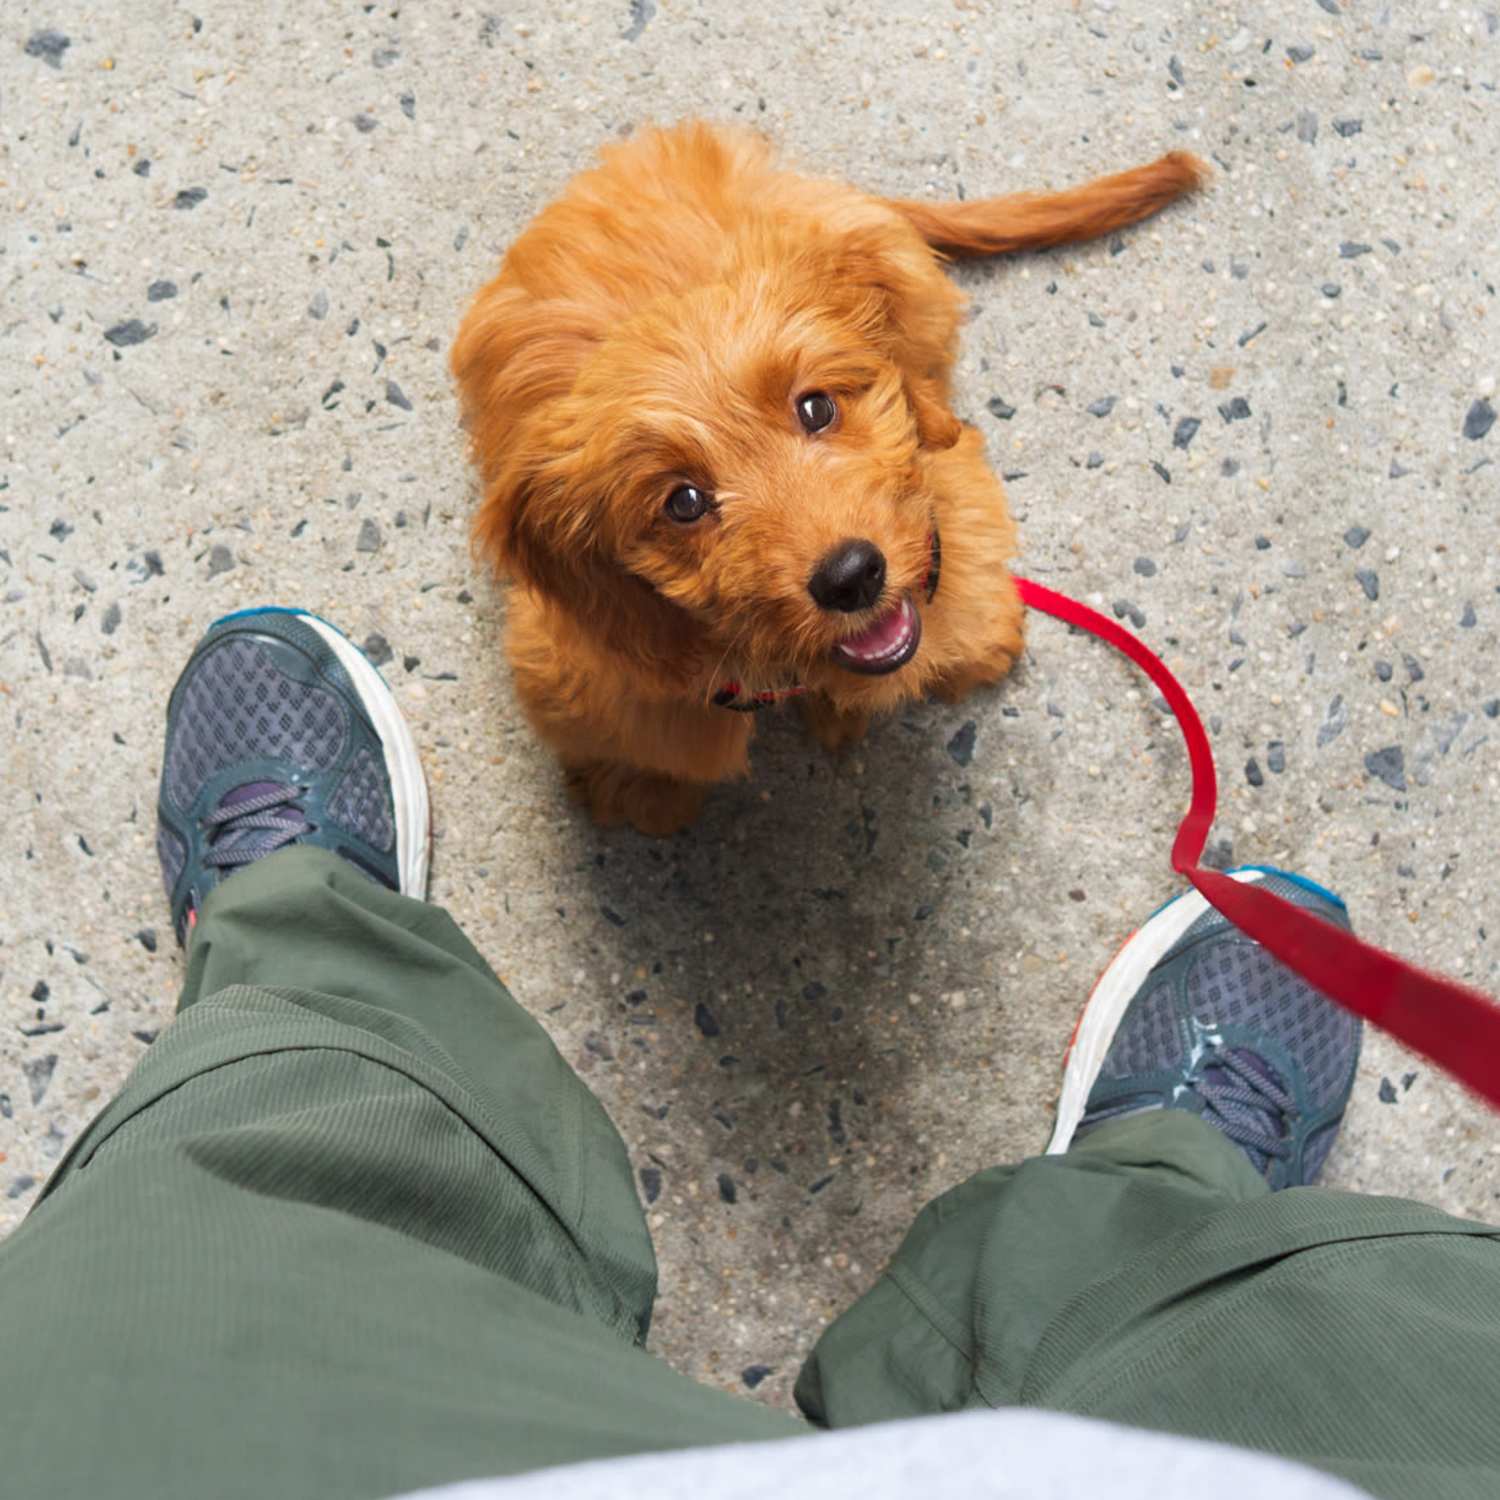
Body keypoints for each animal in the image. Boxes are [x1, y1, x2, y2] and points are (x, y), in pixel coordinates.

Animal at [450, 123, 1200, 840]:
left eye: (816, 408)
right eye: (683, 502)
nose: (851, 577)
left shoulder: (944, 495)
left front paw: (975, 641)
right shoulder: (593, 664)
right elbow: (651, 736)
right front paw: (643, 787)